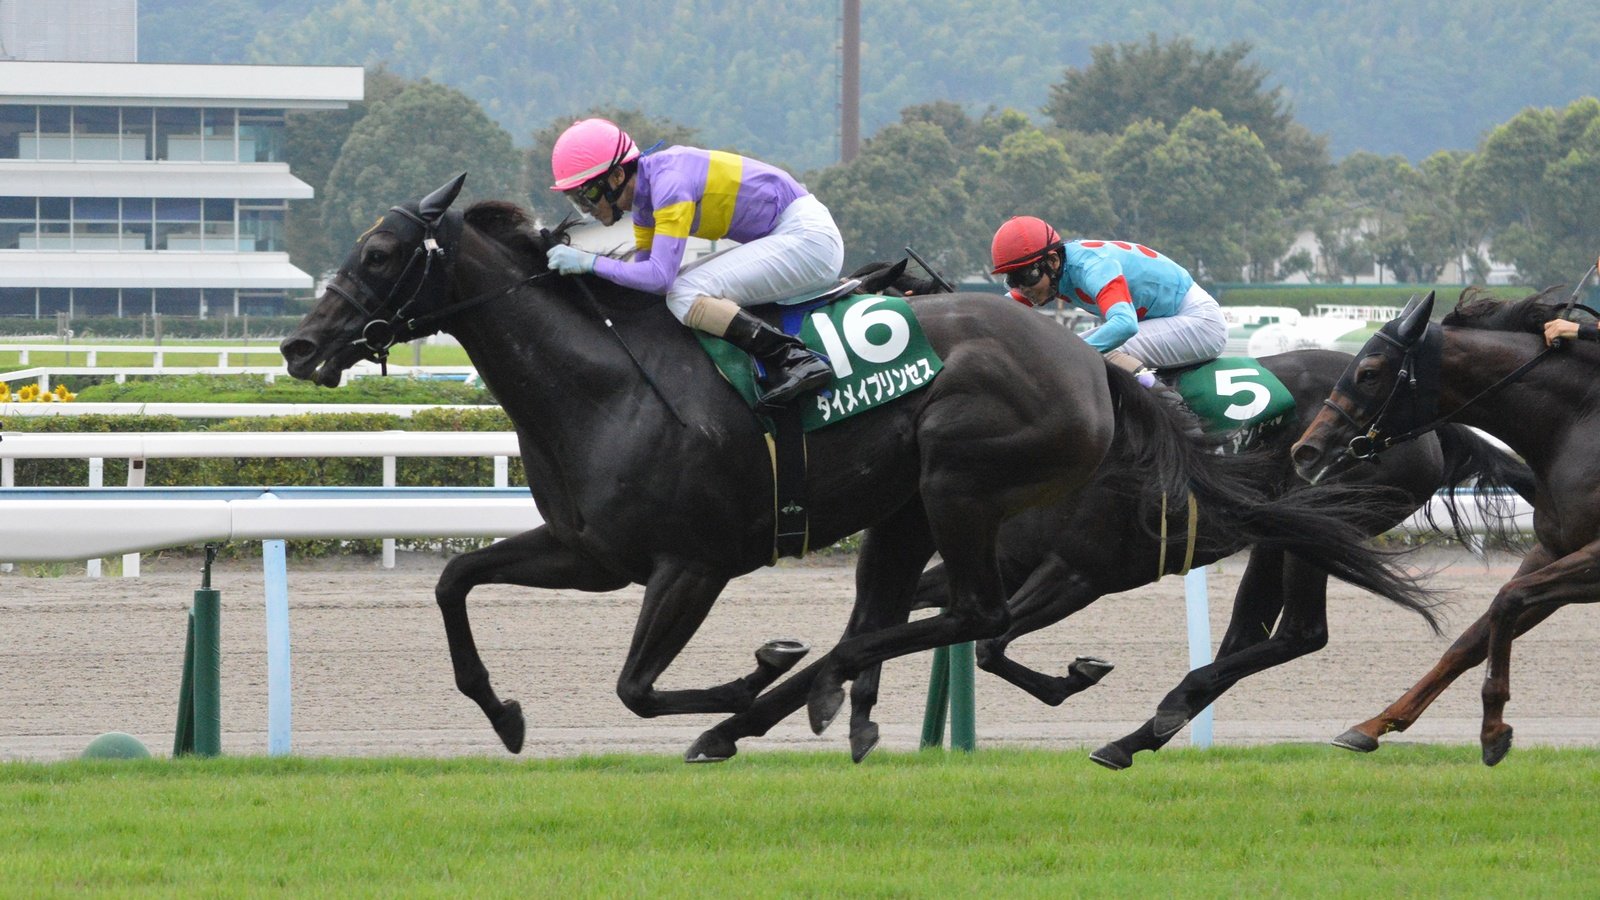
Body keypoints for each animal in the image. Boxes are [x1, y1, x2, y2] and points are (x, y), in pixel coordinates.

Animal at [279, 174, 1129, 753]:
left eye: (379, 253)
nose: (299, 345)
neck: (608, 386)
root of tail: (1082, 358)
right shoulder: (591, 554)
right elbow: (455, 579)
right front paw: (504, 713)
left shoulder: (694, 563)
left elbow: (635, 689)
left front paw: (753, 676)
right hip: (905, 510)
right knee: (896, 616)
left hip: (959, 484)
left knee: (972, 615)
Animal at [685, 266, 1524, 766]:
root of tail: (1433, 427)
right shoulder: (998, 564)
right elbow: (896, 628)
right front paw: (792, 712)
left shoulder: (1082, 570)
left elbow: (987, 644)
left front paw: (1073, 676)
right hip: (1278, 532)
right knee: (1258, 634)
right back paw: (1145, 731)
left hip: (1323, 522)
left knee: (1300, 634)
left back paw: (1154, 723)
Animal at [1292, 287, 1590, 767]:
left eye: (1369, 372)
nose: (1305, 450)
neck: (1577, 424)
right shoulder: (1554, 550)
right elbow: (1473, 636)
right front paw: (1374, 725)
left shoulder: (1592, 560)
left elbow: (1507, 601)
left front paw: (1492, 729)